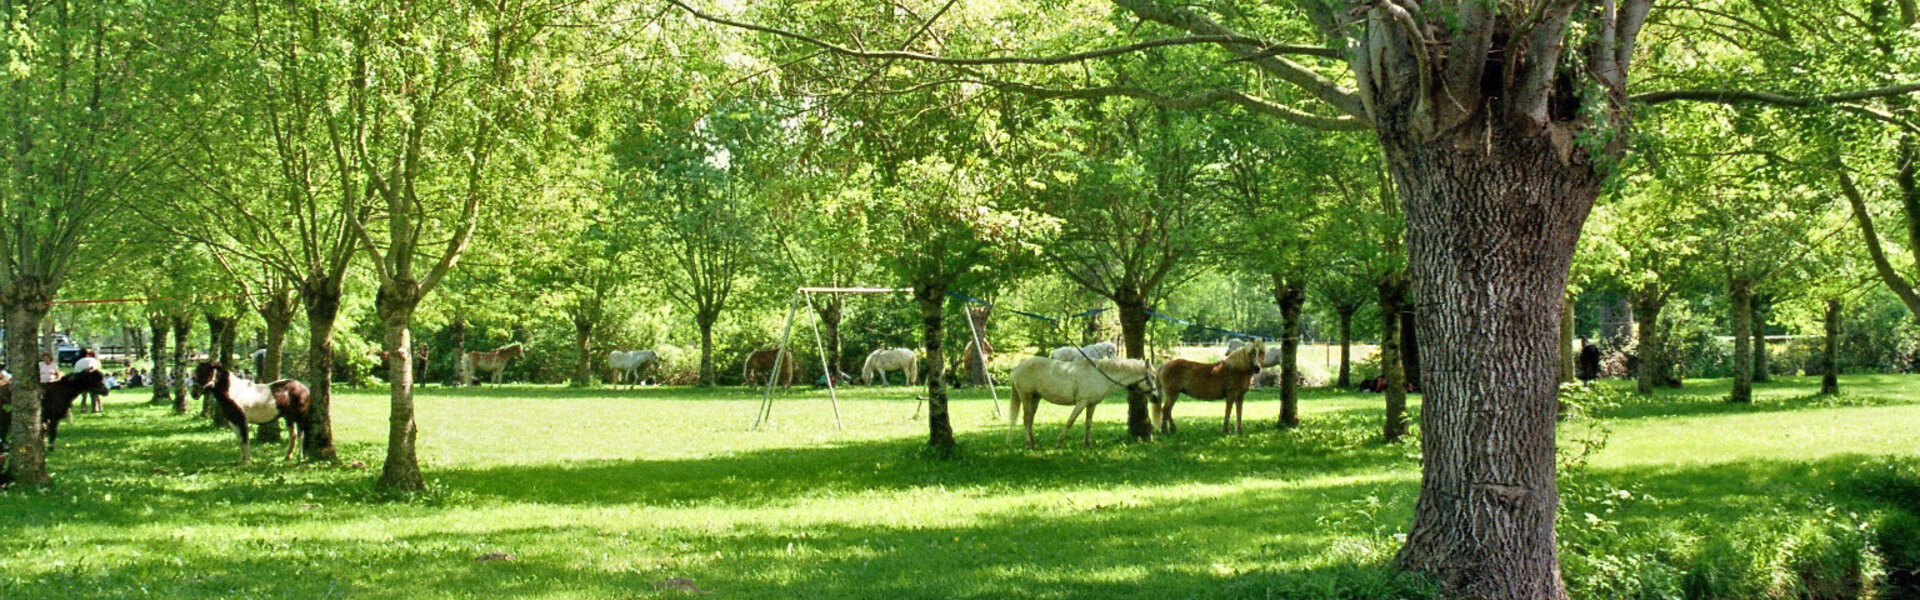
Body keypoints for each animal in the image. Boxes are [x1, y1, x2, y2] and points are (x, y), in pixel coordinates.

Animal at [1006, 353, 1152, 448]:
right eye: (1151, 377)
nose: (1155, 397)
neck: (1099, 375)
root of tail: (1017, 368)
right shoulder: (1081, 403)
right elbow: (1070, 422)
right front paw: (1059, 443)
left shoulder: (1091, 404)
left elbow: (1088, 424)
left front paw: (1087, 444)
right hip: (1026, 397)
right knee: (1026, 420)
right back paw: (1029, 444)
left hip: (1035, 398)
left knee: (1030, 420)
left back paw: (1033, 442)